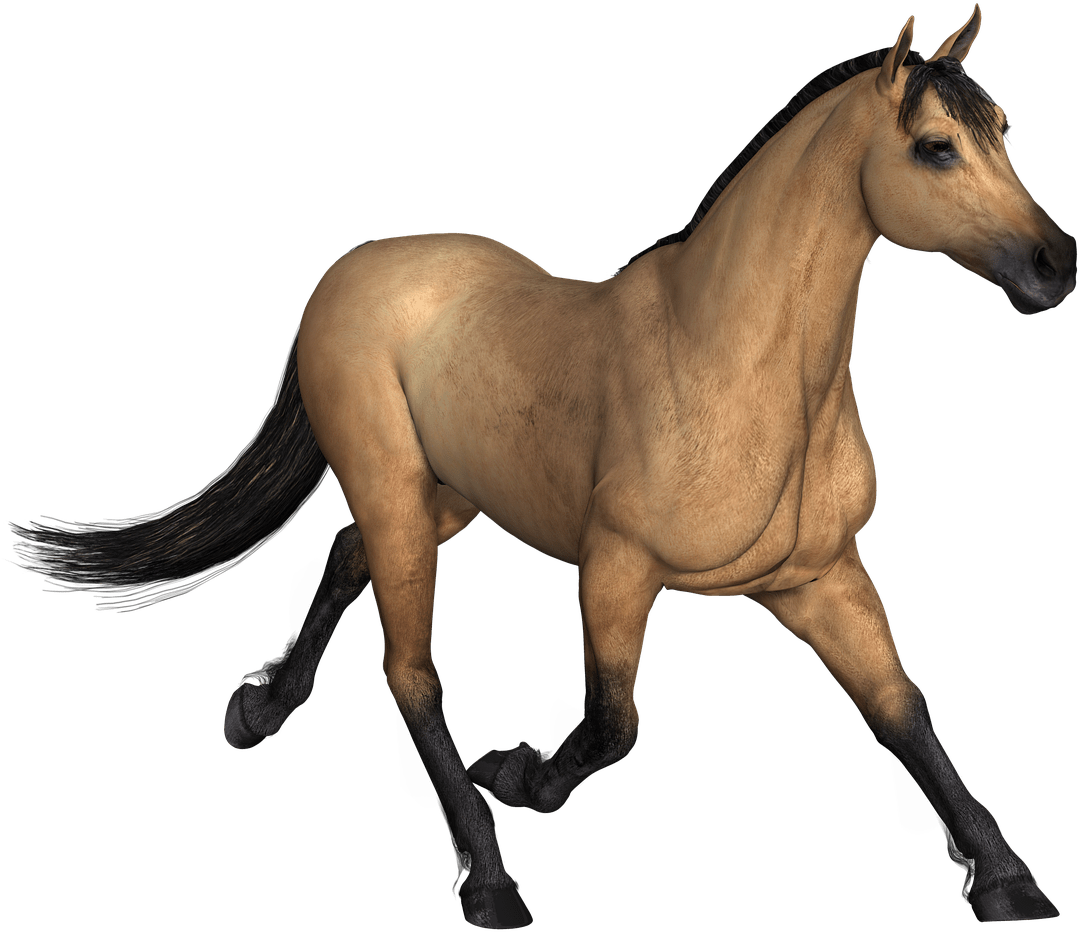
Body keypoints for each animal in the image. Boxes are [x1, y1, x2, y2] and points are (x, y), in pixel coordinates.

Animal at [9, 5, 1072, 926]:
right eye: (935, 148)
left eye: (1004, 130)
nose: (1054, 266)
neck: (727, 360)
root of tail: (355, 266)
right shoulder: (617, 570)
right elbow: (613, 723)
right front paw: (520, 777)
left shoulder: (822, 577)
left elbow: (903, 708)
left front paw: (1006, 881)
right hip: (394, 487)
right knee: (411, 671)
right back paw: (487, 880)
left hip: (453, 494)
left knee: (349, 557)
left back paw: (260, 706)